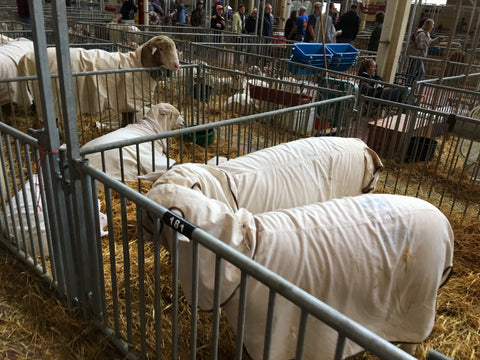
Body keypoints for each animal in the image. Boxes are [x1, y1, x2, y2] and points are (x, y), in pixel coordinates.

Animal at [18, 34, 180, 129]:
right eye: (161, 49)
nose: (177, 66)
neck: (139, 64)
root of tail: (27, 58)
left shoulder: (126, 103)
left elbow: (125, 121)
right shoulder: (129, 100)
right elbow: (127, 121)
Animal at [143, 186, 454, 360]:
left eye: (151, 208)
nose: (138, 227)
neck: (247, 245)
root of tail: (445, 223)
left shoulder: (271, 331)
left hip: (415, 308)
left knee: (411, 343)